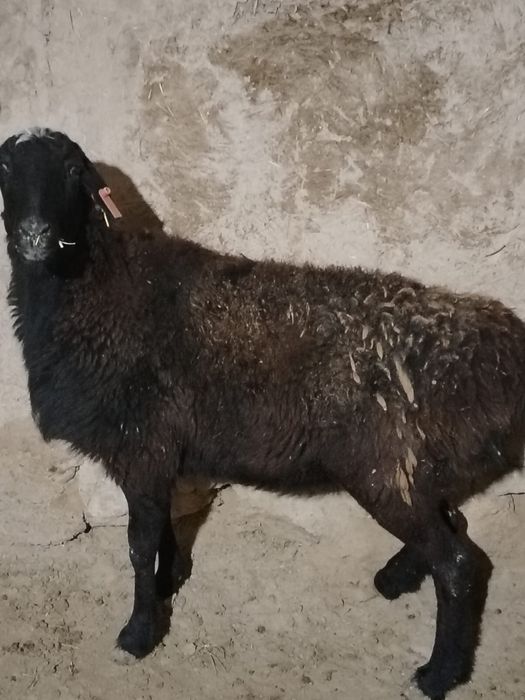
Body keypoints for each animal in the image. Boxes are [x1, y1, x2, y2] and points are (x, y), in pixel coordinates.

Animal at [0, 128, 523, 700]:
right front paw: (168, 581)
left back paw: (438, 673)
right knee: (452, 521)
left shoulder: (141, 446)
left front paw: (138, 634)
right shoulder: (162, 451)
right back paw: (397, 579)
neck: (103, 289)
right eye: (4, 165)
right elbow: (164, 527)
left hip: (386, 469)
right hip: (416, 467)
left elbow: (138, 546)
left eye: (74, 170)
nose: (33, 236)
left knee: (457, 564)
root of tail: (498, 350)